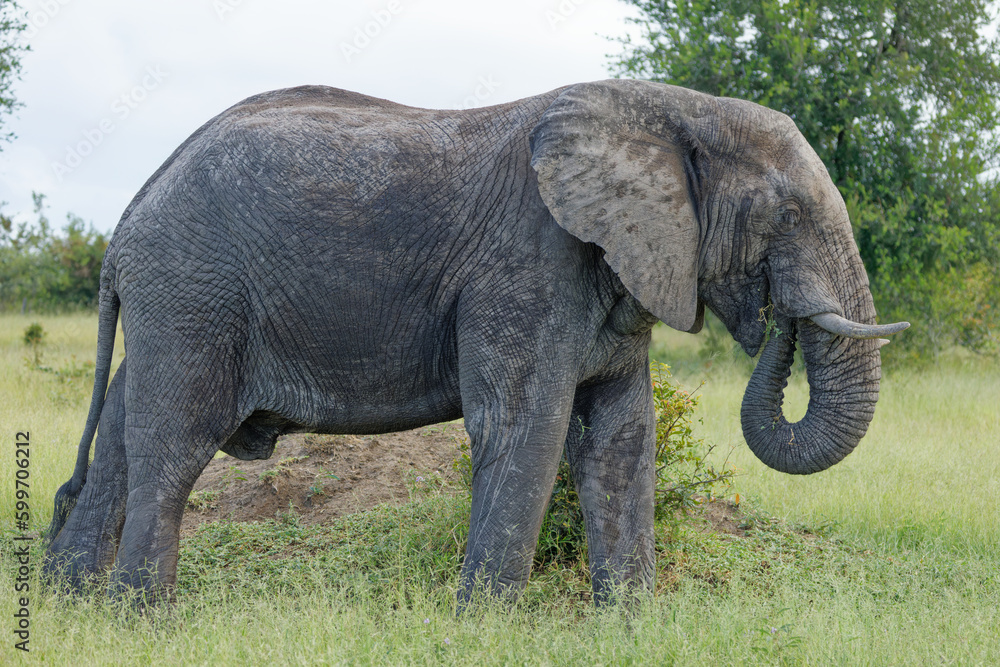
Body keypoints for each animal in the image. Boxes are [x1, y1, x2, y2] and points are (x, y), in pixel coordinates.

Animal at [44, 79, 908, 605]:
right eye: (786, 216)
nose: (780, 316)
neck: (671, 108)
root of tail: (126, 219)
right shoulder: (527, 262)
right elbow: (527, 428)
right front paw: (483, 624)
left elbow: (623, 436)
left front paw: (631, 625)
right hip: (195, 291)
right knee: (174, 445)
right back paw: (143, 620)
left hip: (173, 299)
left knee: (119, 439)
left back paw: (74, 607)